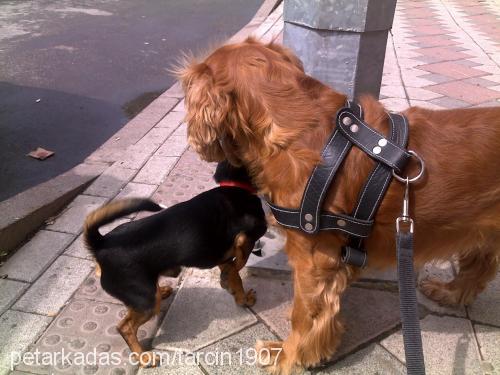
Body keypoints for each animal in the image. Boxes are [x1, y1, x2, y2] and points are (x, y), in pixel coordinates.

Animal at [84, 162, 268, 368]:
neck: (235, 187)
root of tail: (101, 244)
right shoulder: (246, 239)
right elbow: (239, 264)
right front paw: (238, 291)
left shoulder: (225, 258)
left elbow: (234, 277)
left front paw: (237, 294)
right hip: (146, 301)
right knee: (125, 327)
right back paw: (143, 357)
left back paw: (162, 291)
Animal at [178, 37, 498, 374]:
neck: (295, 126)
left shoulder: (313, 258)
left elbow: (303, 314)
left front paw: (287, 356)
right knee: (479, 266)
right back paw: (449, 292)